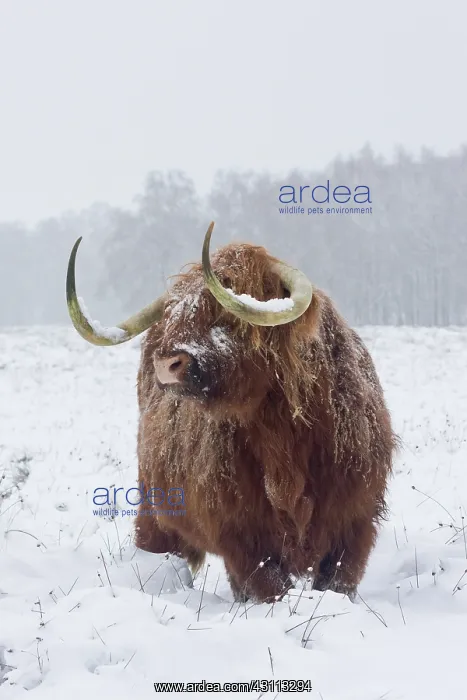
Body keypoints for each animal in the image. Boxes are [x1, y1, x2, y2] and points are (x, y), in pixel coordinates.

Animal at [66, 222, 397, 603]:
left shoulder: (355, 521)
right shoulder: (240, 532)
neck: (283, 433)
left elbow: (338, 580)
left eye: (225, 313)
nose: (167, 364)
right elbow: (267, 584)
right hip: (154, 505)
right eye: (175, 311)